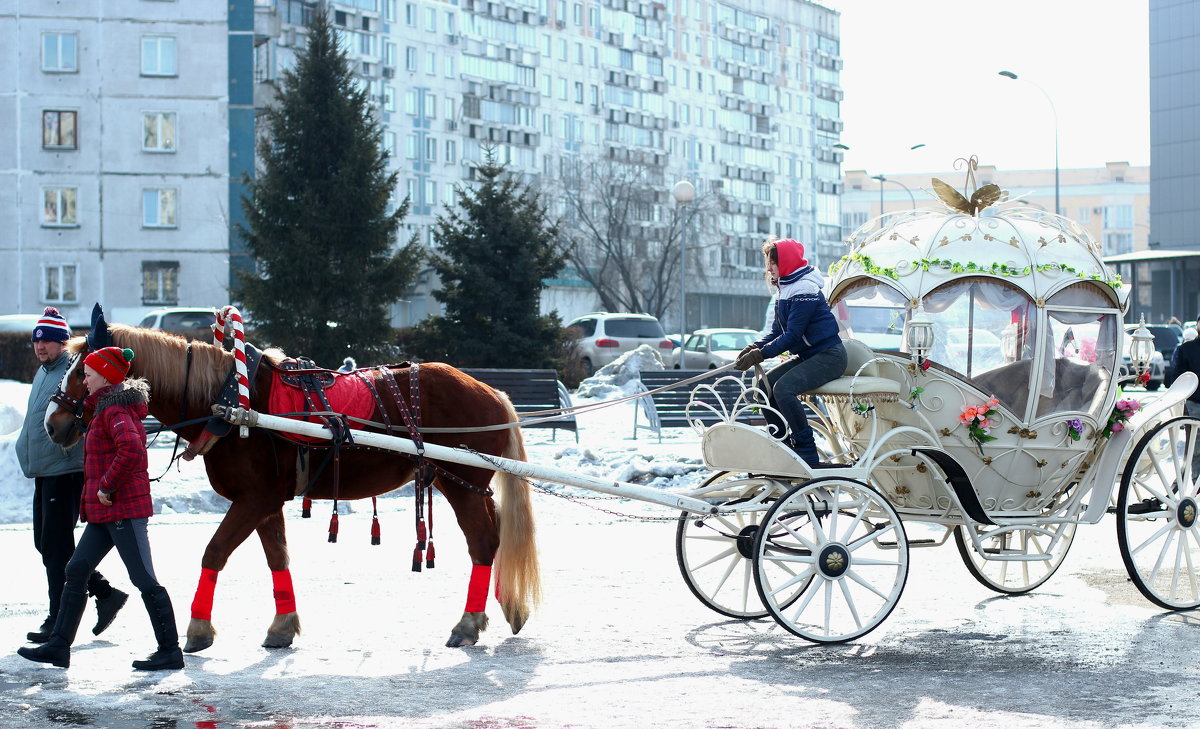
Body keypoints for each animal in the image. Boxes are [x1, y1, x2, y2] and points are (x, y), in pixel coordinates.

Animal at [43, 318, 540, 647]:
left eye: (81, 371)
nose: (53, 424)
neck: (230, 404)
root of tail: (491, 391)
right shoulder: (266, 502)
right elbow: (277, 557)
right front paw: (283, 625)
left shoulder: (254, 498)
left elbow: (214, 552)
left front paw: (199, 628)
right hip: (464, 483)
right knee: (496, 536)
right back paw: (506, 606)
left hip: (460, 482)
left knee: (483, 542)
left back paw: (470, 621)